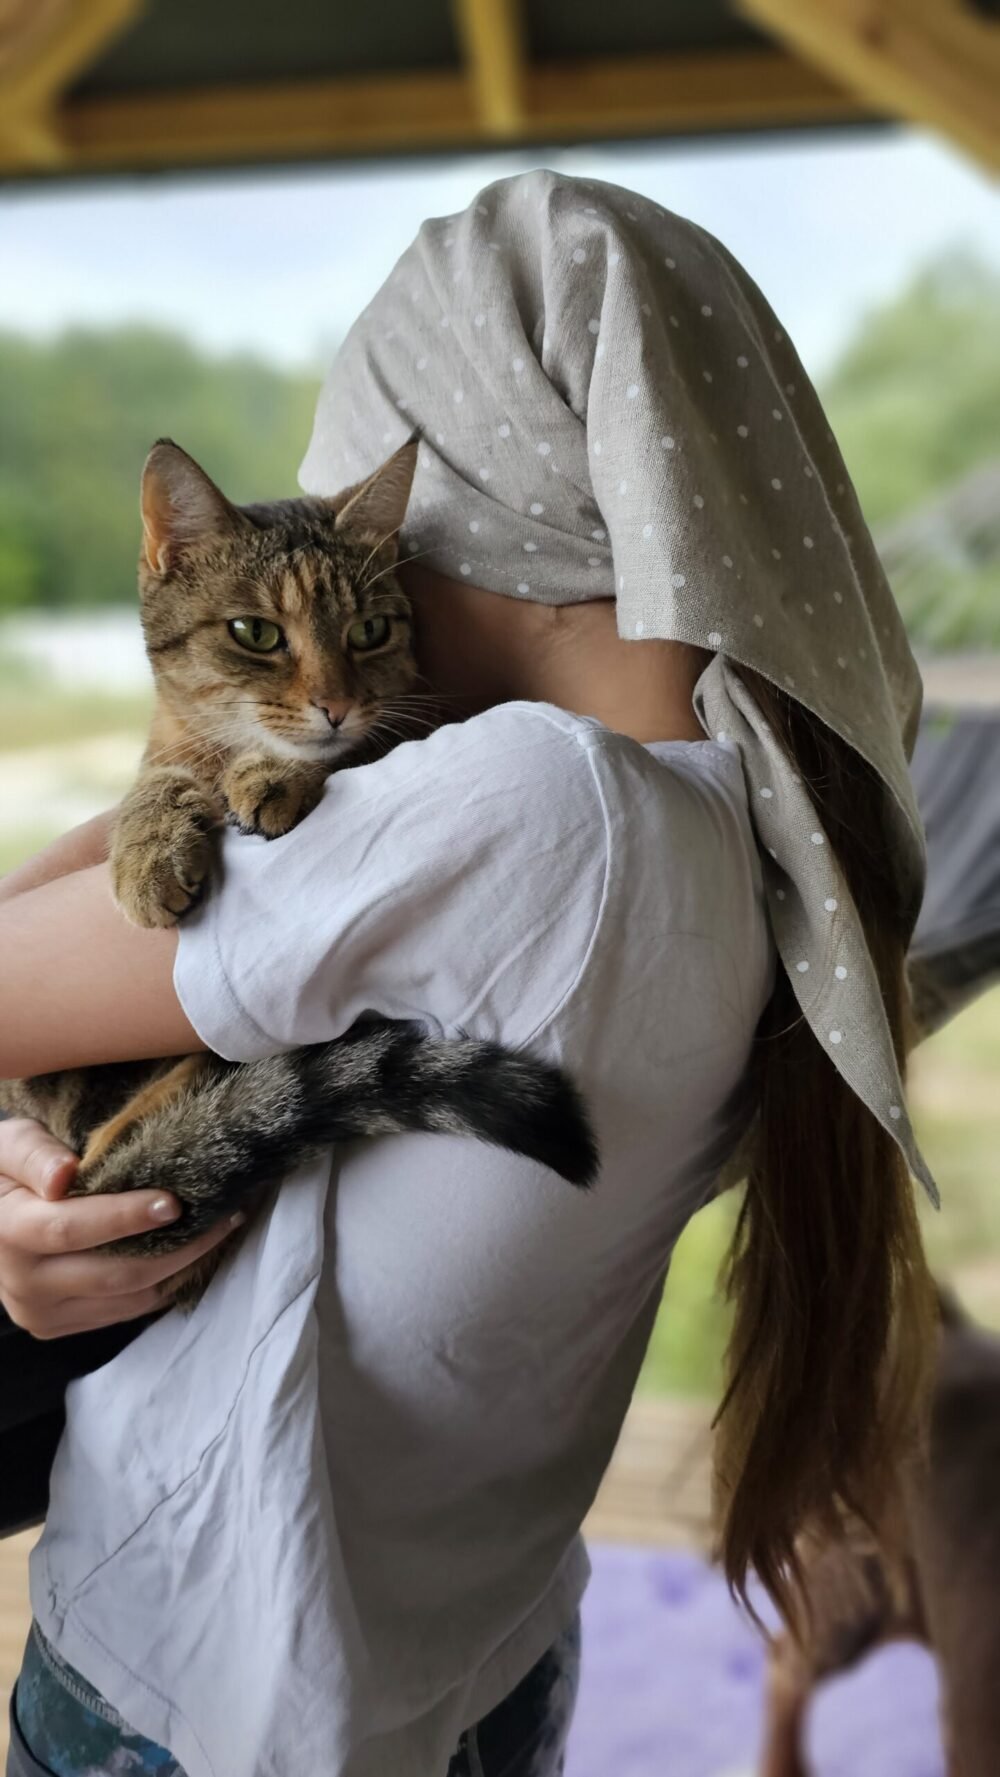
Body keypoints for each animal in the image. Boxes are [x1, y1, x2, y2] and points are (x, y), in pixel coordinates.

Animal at [0, 438, 593, 1314]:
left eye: (370, 629)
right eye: (256, 633)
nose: (335, 703)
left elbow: (353, 750)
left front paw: (276, 774)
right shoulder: (167, 752)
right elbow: (155, 780)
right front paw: (151, 842)